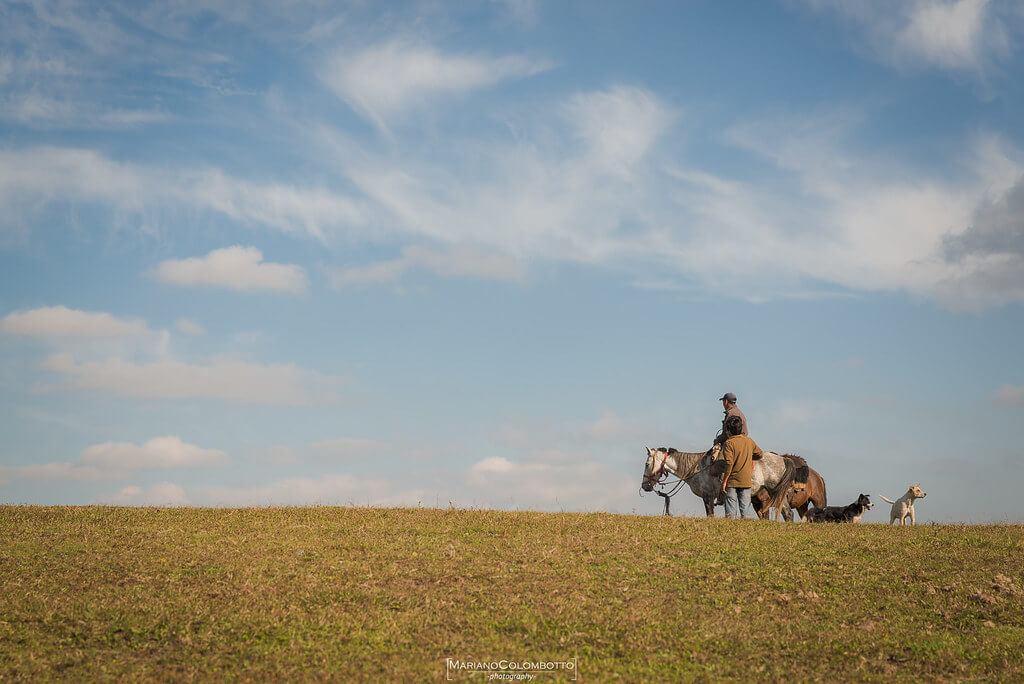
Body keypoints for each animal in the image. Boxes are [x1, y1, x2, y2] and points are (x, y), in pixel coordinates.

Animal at [638, 444, 798, 518]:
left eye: (646, 464)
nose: (645, 486)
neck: (697, 467)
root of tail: (784, 459)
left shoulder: (707, 496)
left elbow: (710, 514)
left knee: (788, 513)